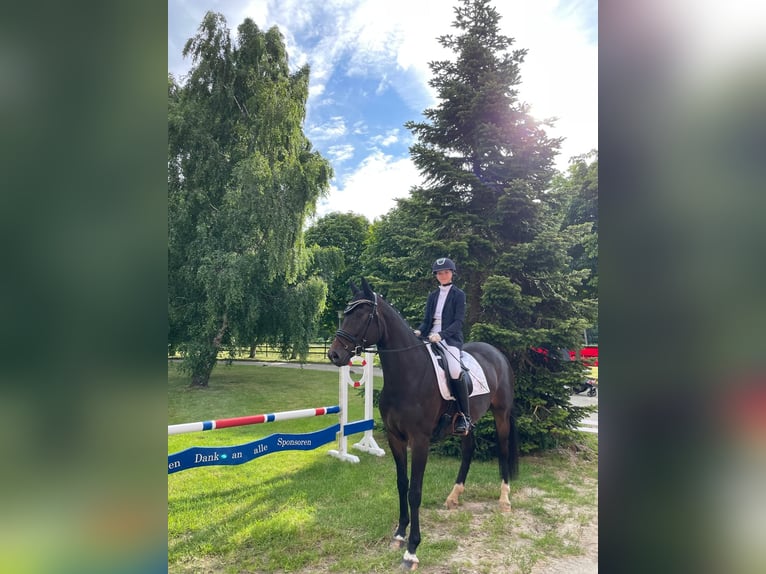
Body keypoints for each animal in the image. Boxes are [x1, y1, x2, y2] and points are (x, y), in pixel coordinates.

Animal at [327, 278, 518, 570]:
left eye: (361, 315)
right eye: (346, 313)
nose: (335, 354)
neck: (409, 375)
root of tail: (496, 352)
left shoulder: (420, 441)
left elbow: (415, 491)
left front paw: (412, 550)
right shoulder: (395, 438)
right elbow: (401, 483)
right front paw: (398, 534)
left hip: (501, 414)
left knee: (504, 449)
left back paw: (504, 499)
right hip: (468, 422)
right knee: (468, 449)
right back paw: (454, 496)